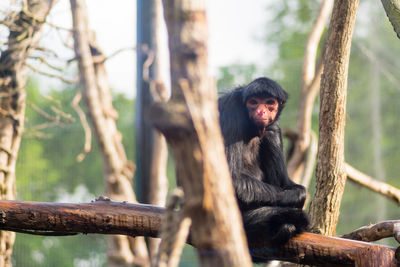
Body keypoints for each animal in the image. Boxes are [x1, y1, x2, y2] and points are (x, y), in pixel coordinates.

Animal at [219, 77, 310, 251]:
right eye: (253, 102)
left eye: (269, 103)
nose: (261, 111)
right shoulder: (231, 109)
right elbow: (230, 178)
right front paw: (293, 198)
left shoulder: (275, 125)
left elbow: (288, 184)